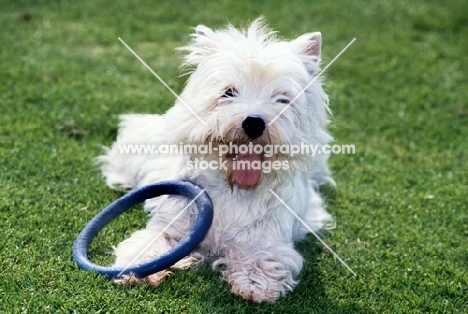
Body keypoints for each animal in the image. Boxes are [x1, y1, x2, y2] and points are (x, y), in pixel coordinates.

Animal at [99, 19, 332, 302]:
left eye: (281, 98)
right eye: (228, 92)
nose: (253, 123)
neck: (235, 189)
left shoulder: (268, 237)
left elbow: (261, 256)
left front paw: (254, 284)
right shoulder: (174, 223)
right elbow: (150, 240)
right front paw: (136, 269)